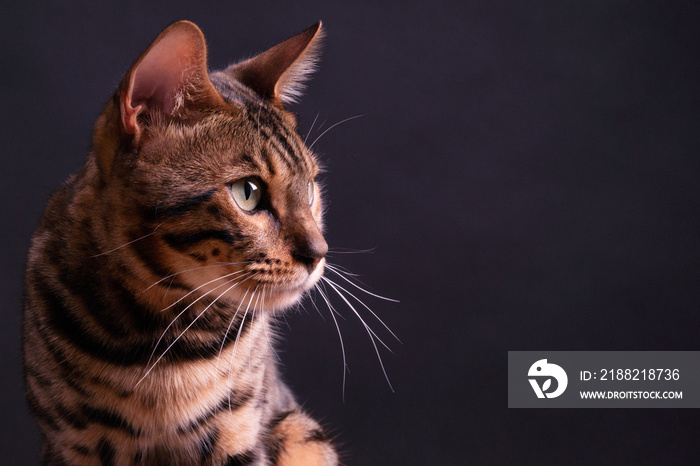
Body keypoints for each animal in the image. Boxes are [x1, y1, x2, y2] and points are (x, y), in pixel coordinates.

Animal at [25, 20, 344, 464]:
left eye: (311, 188)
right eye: (248, 193)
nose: (319, 253)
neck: (162, 343)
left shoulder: (239, 428)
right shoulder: (69, 442)